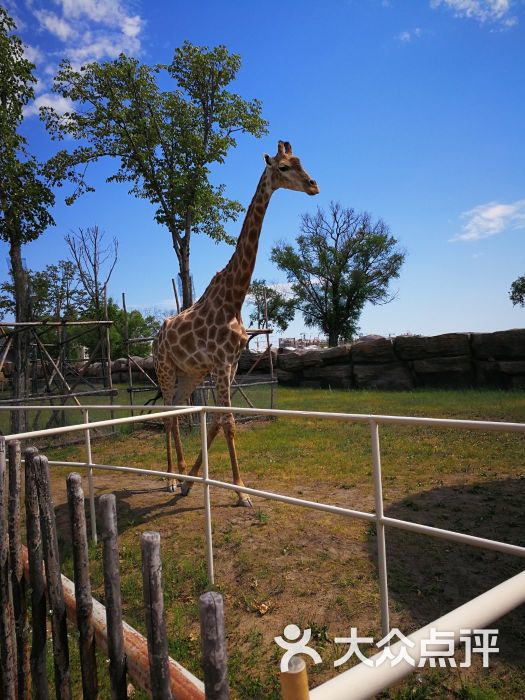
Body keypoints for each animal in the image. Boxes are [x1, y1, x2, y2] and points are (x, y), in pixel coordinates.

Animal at [150, 141, 316, 504]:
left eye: (302, 162)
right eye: (284, 167)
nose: (314, 186)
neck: (234, 297)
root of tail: (155, 338)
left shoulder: (231, 363)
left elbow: (217, 420)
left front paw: (194, 480)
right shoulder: (219, 362)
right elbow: (227, 421)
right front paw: (241, 491)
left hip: (189, 374)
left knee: (177, 412)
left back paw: (180, 475)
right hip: (165, 369)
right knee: (167, 416)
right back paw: (169, 479)